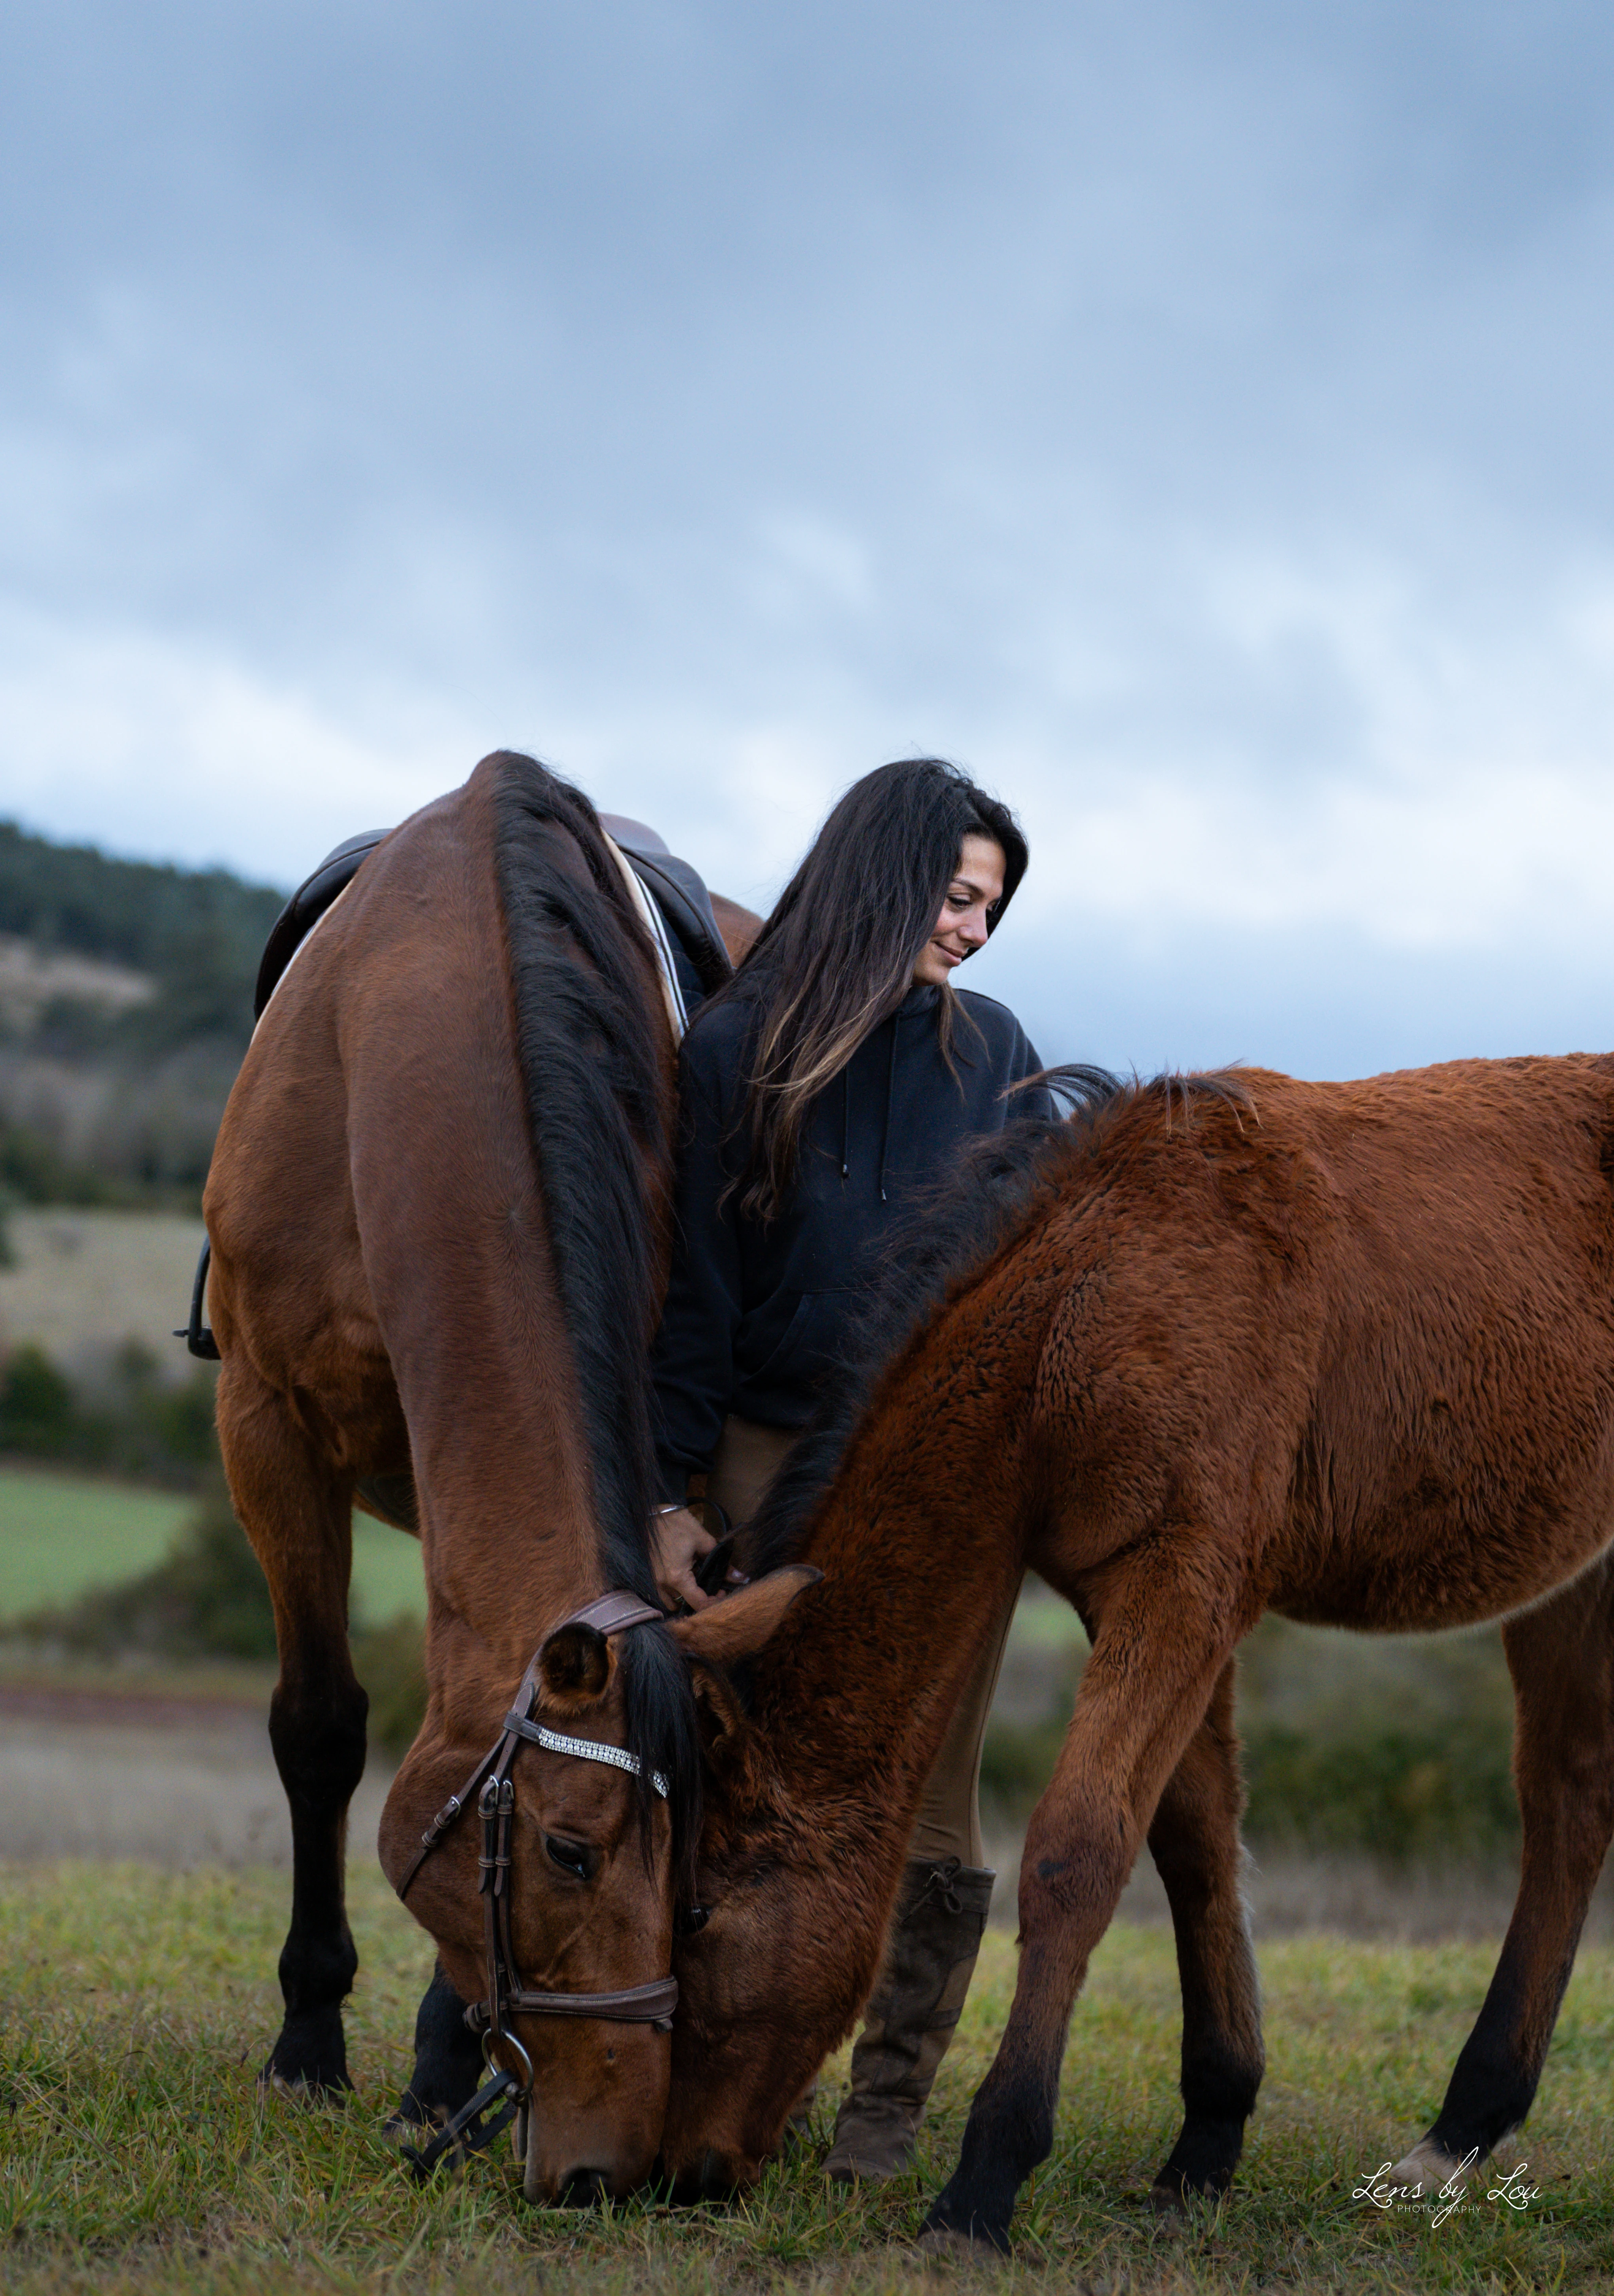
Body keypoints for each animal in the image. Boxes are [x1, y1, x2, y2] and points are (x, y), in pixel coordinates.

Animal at [205, 749, 812, 2201]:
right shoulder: (264, 1422)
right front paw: (308, 2043)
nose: (611, 2166)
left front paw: (435, 2073)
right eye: (567, 1851)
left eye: (691, 1866)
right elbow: (317, 1728)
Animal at [660, 1056, 1614, 2248]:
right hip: (1571, 1574)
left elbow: (1076, 1851)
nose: (674, 2175)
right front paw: (1206, 2135)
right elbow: (1190, 1840)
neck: (1093, 1299)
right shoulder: (1147, 1595)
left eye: (696, 1912)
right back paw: (1458, 2129)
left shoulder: (1180, 1584)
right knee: (1566, 1801)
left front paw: (984, 2179)